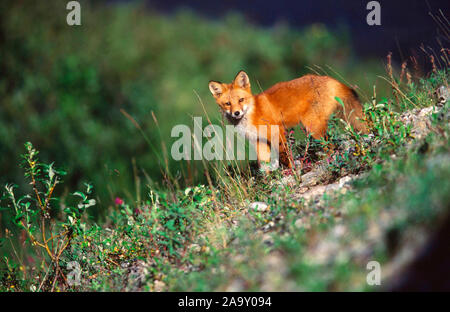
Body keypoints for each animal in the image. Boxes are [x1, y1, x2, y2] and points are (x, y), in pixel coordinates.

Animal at [209, 70, 368, 169]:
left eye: (241, 100)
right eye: (227, 104)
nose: (236, 113)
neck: (252, 114)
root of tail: (330, 79)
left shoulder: (277, 132)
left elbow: (284, 155)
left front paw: (292, 171)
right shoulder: (259, 141)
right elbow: (264, 165)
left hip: (313, 126)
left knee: (330, 147)